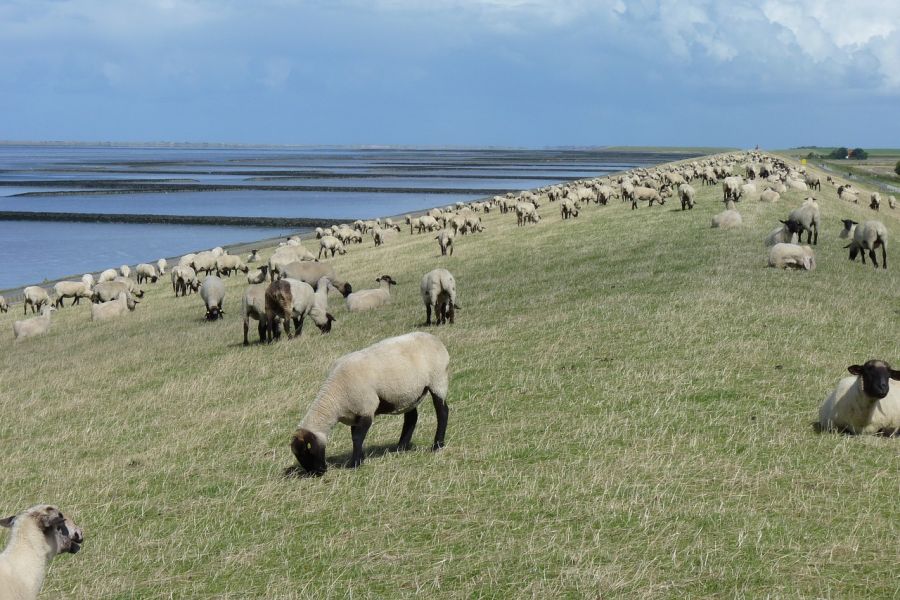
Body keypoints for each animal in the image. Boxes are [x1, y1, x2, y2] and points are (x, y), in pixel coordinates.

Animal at [288, 330, 450, 476]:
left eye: (307, 451)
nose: (317, 473)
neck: (335, 398)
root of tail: (436, 340)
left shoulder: (366, 408)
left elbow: (357, 437)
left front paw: (354, 463)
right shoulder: (355, 413)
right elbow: (355, 437)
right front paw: (360, 458)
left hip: (438, 380)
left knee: (442, 412)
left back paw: (437, 445)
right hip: (409, 393)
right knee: (411, 418)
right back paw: (401, 447)